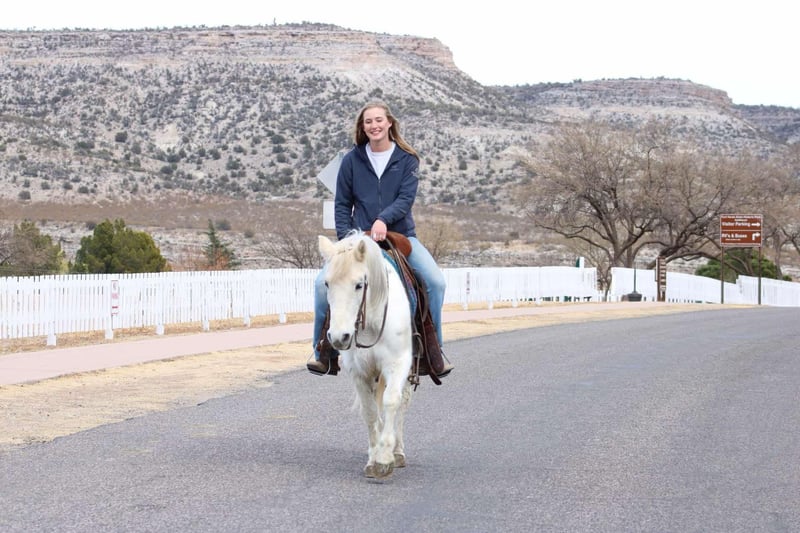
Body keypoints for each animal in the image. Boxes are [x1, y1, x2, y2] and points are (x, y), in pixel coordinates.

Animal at [318, 231, 414, 479]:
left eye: (359, 285)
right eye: (326, 283)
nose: (339, 336)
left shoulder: (397, 363)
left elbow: (392, 401)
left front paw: (385, 457)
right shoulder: (359, 372)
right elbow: (370, 411)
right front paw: (374, 458)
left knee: (403, 403)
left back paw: (398, 451)